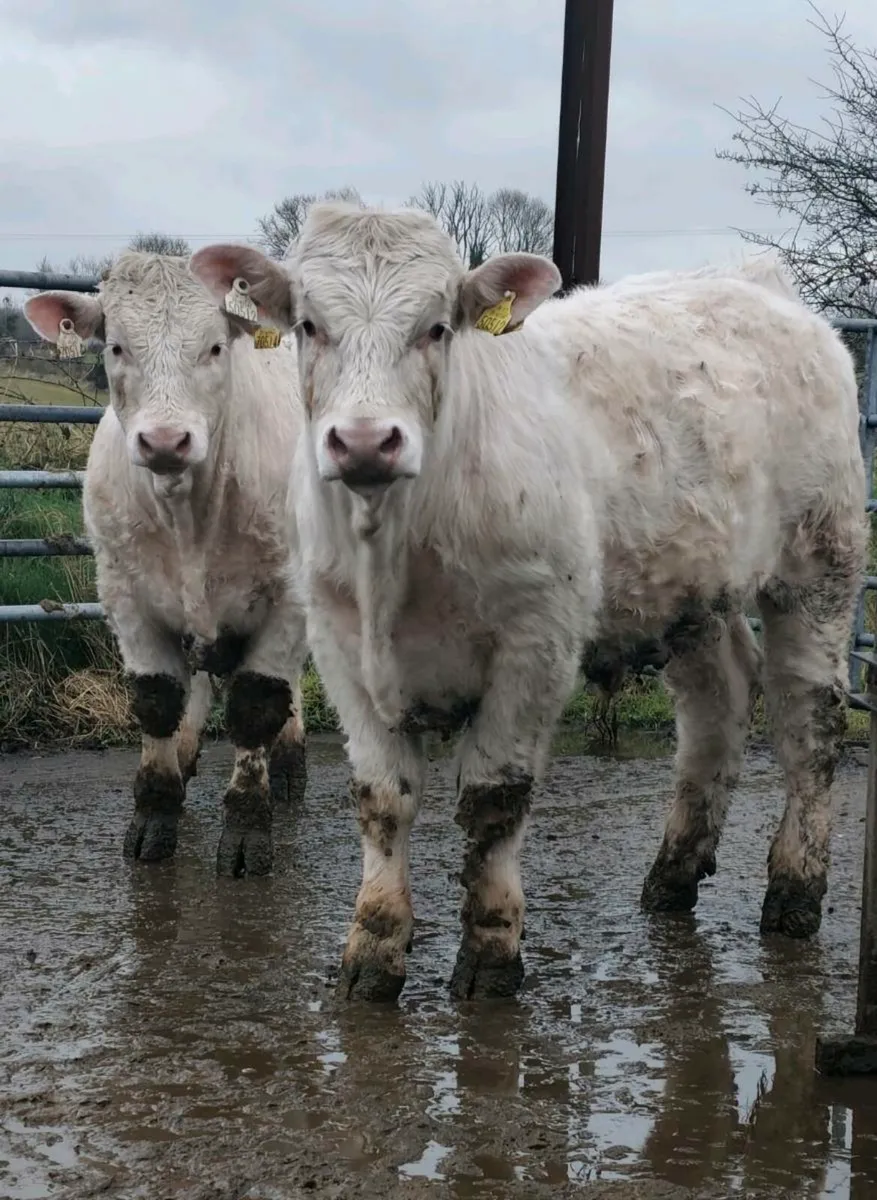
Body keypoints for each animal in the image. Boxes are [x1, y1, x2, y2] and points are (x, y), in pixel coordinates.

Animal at [24, 251, 309, 878]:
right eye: (116, 347)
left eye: (215, 347)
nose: (164, 440)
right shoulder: (125, 596)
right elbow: (155, 701)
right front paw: (154, 816)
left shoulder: (287, 598)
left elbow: (256, 705)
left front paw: (247, 830)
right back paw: (187, 751)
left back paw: (290, 763)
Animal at [190, 205, 866, 1002]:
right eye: (307, 324)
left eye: (437, 327)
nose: (363, 441)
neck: (396, 546)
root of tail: (755, 283)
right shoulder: (340, 644)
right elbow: (382, 799)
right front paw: (373, 949)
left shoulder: (535, 642)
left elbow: (494, 798)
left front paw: (489, 953)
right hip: (692, 593)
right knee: (717, 707)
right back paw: (671, 876)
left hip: (818, 564)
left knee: (809, 723)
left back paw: (794, 891)